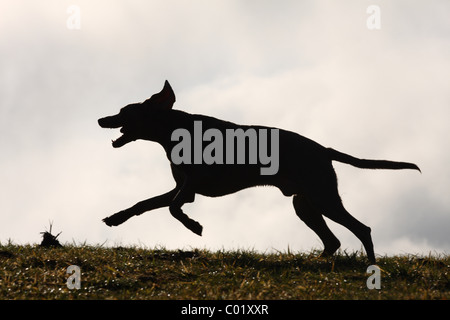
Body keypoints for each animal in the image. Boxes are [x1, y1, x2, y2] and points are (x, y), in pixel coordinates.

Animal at [99, 80, 422, 262]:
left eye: (124, 112)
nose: (101, 119)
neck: (172, 131)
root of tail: (324, 149)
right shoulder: (182, 188)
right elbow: (144, 204)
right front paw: (116, 218)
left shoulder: (189, 189)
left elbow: (174, 209)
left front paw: (194, 226)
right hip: (304, 204)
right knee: (334, 241)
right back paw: (316, 262)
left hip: (323, 199)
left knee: (362, 229)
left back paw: (371, 266)